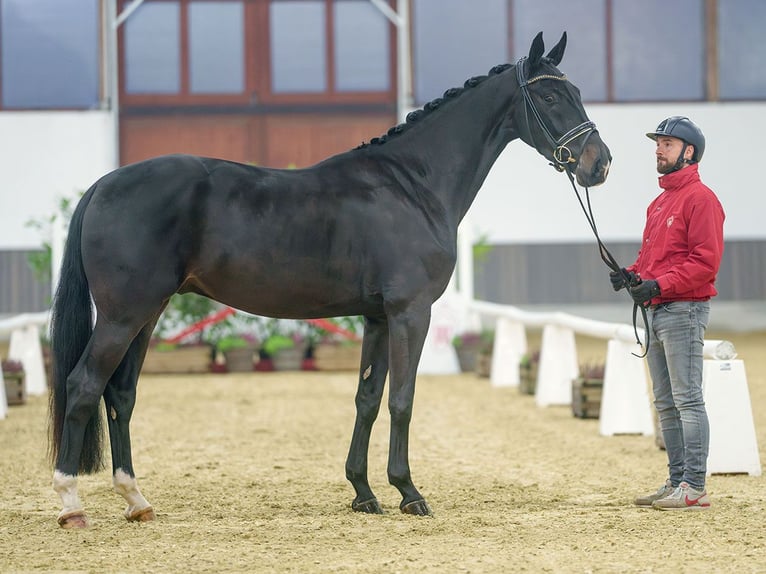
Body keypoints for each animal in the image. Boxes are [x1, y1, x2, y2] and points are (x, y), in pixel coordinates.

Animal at [46, 30, 612, 528]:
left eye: (579, 92)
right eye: (550, 95)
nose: (600, 164)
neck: (412, 185)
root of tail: (103, 184)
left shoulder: (377, 318)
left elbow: (367, 398)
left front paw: (363, 492)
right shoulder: (410, 313)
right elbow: (402, 399)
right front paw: (409, 492)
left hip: (146, 314)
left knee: (120, 394)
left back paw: (136, 500)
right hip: (124, 315)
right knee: (83, 385)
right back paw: (71, 504)